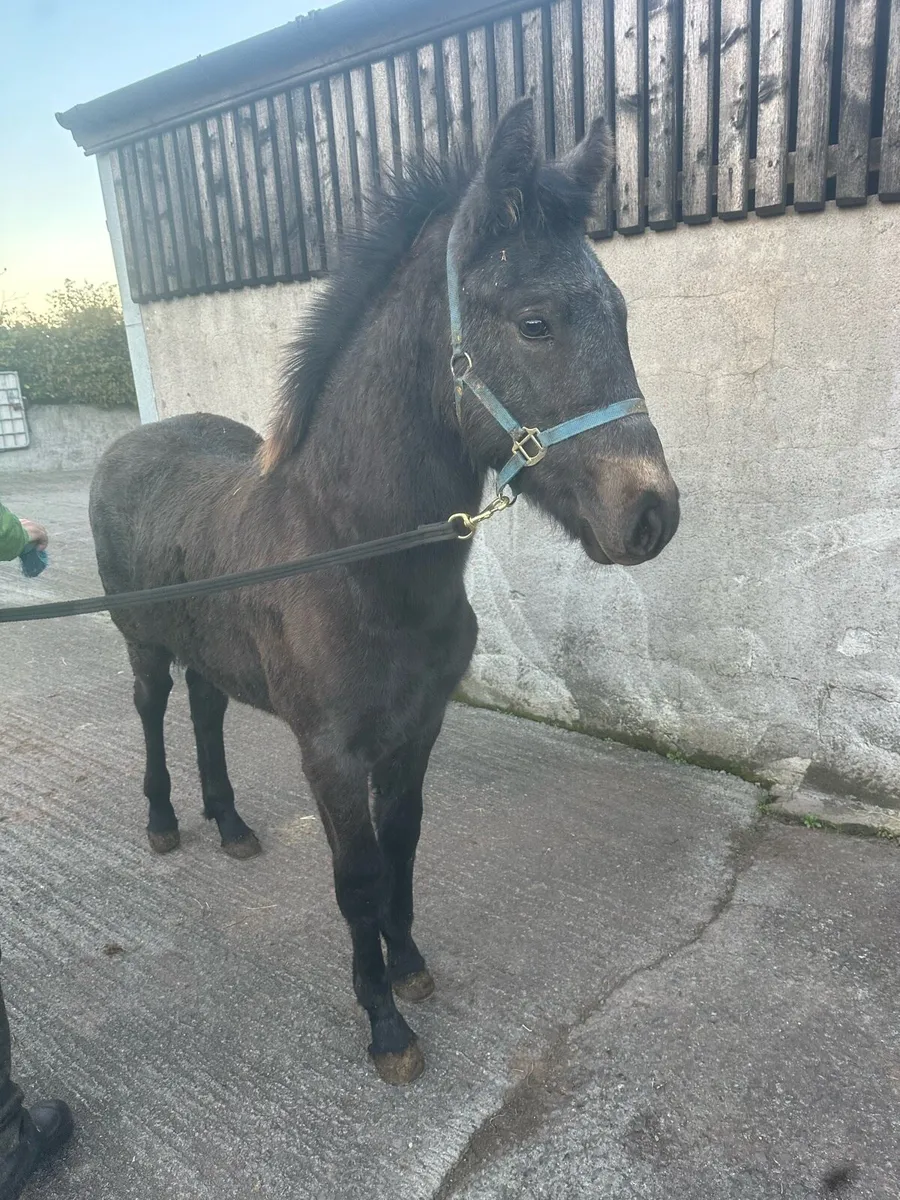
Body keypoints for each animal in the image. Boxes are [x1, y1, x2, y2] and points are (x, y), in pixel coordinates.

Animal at [89, 99, 680, 1084]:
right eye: (535, 323)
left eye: (626, 316)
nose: (651, 515)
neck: (355, 557)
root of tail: (127, 444)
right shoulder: (332, 754)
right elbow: (357, 877)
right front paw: (384, 1026)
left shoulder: (416, 730)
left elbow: (402, 845)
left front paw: (408, 968)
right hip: (142, 644)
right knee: (153, 708)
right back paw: (167, 822)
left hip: (211, 649)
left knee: (206, 708)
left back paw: (231, 824)